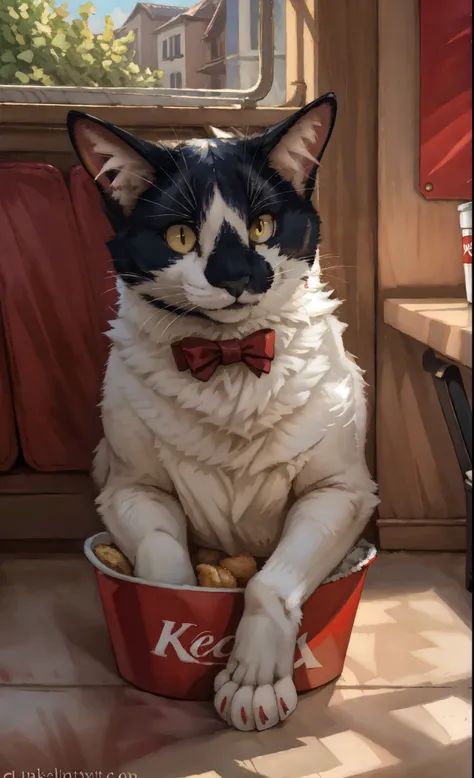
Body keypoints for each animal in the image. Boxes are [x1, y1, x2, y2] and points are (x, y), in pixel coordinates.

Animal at [67, 94, 378, 732]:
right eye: (181, 236)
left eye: (262, 226)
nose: (236, 276)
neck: (231, 360)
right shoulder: (129, 490)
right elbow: (165, 568)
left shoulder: (341, 492)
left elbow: (269, 582)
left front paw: (254, 680)